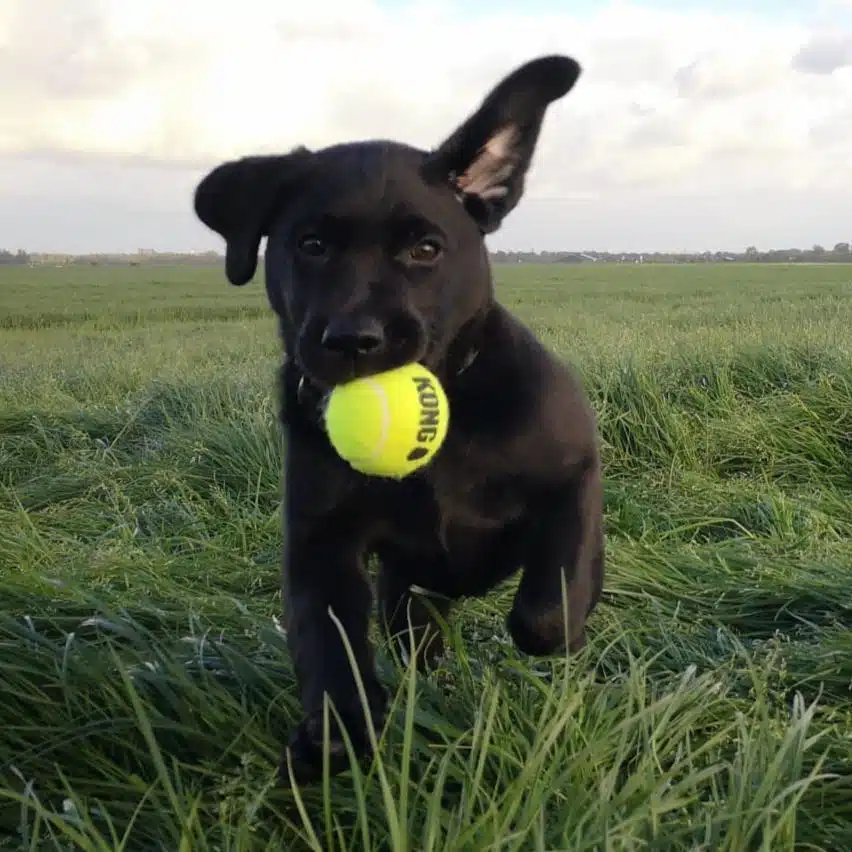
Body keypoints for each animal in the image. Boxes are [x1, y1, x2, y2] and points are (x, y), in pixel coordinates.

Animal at [193, 55, 604, 784]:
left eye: (426, 250)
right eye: (312, 244)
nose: (355, 340)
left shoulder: (573, 474)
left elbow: (547, 612)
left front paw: (564, 621)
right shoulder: (320, 541)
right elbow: (328, 647)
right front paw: (333, 737)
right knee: (415, 632)